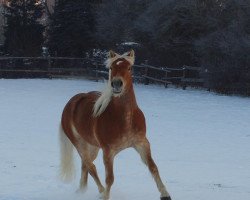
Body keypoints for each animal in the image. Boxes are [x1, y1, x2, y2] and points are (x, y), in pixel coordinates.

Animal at [59, 50, 172, 200]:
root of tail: (72, 102)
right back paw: (100, 191)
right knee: (91, 166)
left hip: (93, 146)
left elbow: (153, 167)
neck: (125, 119)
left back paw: (82, 190)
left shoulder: (142, 143)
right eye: (111, 68)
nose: (117, 84)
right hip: (79, 143)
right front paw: (105, 196)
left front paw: (165, 194)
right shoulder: (108, 151)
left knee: (86, 165)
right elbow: (110, 178)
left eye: (129, 68)